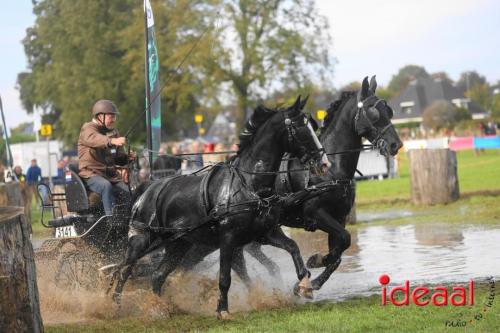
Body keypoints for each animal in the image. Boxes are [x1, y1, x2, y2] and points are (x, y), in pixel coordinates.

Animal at [109, 95, 328, 316]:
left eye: (313, 126)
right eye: (300, 128)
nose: (324, 163)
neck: (248, 183)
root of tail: (146, 189)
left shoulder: (265, 233)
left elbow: (293, 247)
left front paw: (305, 284)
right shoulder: (228, 238)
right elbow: (225, 277)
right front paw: (222, 310)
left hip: (178, 244)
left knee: (157, 275)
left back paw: (161, 308)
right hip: (142, 238)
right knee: (124, 270)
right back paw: (116, 306)